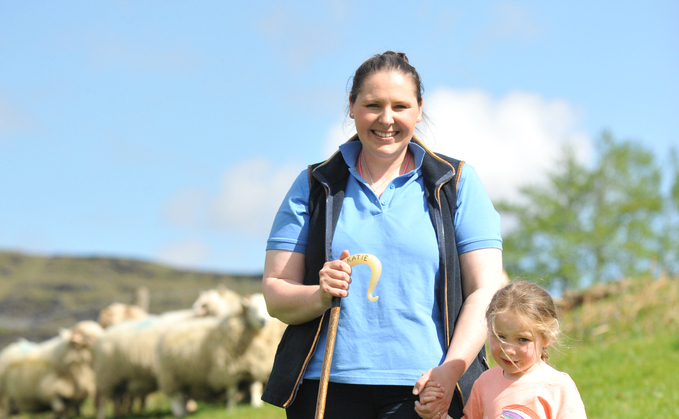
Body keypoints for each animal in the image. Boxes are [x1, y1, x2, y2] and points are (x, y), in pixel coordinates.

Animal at [93, 288, 242, 419]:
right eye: (204, 305)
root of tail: (106, 333)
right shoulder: (178, 369)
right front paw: (188, 409)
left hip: (121, 378)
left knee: (118, 399)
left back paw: (121, 414)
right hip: (107, 374)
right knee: (102, 399)